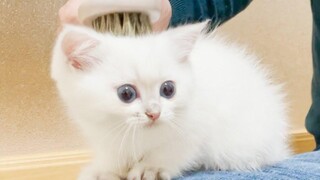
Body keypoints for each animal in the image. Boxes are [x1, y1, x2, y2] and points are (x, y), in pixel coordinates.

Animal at [51, 22, 292, 180]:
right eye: (126, 93)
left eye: (168, 89)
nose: (154, 112)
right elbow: (113, 153)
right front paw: (105, 169)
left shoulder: (198, 125)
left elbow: (175, 149)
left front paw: (152, 167)